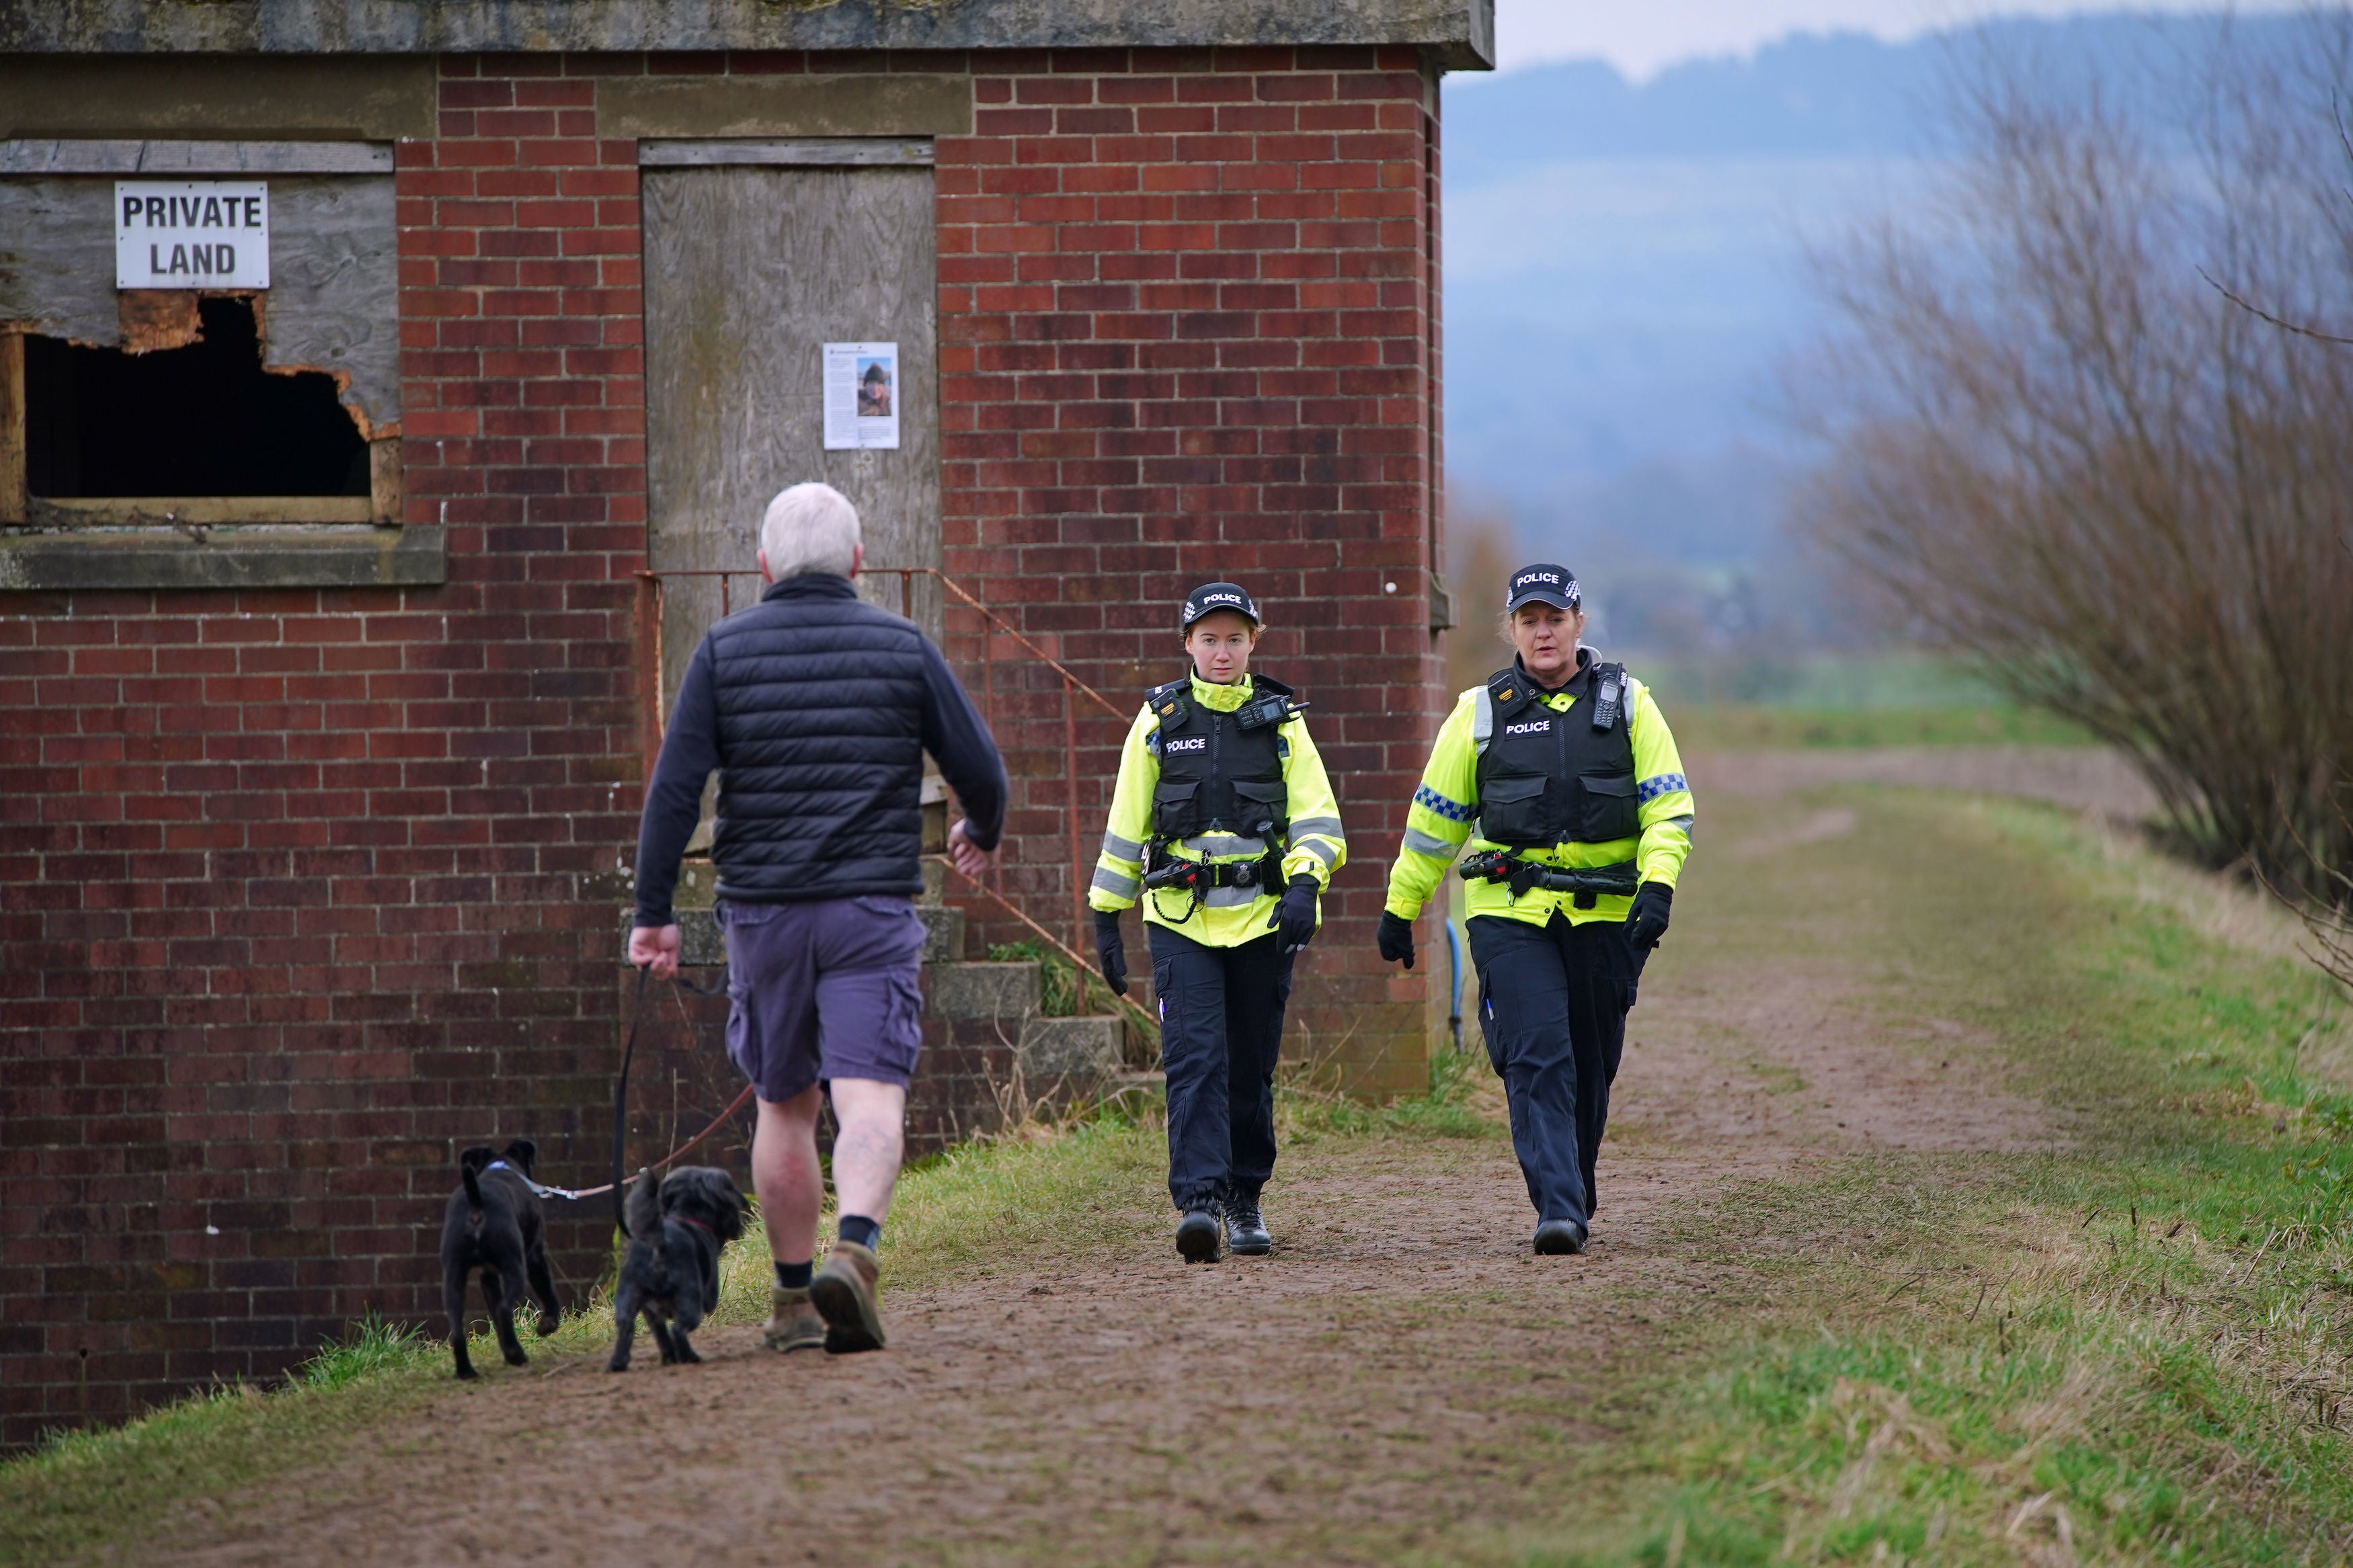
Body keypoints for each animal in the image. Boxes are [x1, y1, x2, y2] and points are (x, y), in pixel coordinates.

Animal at [438, 1142, 560, 1382]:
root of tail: (476, 1202)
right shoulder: (535, 1257)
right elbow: (546, 1289)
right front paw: (548, 1325)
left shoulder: (488, 1275)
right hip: (516, 1268)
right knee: (504, 1310)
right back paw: (516, 1355)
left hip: (453, 1277)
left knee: (458, 1329)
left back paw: (467, 1371)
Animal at [607, 1165, 744, 1372]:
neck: (687, 1215)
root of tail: (660, 1244)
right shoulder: (709, 1294)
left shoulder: (652, 1312)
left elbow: (661, 1334)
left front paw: (669, 1356)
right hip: (690, 1299)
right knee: (678, 1330)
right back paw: (691, 1357)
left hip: (628, 1296)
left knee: (627, 1328)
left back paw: (619, 1363)